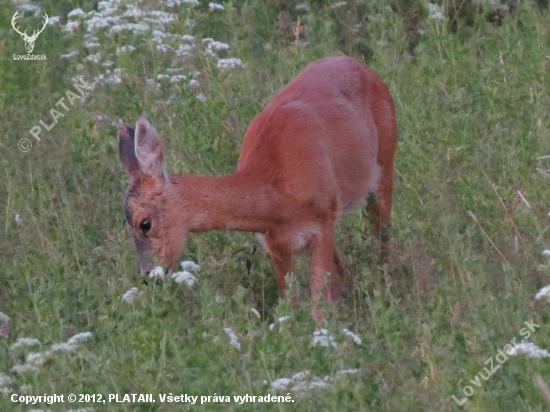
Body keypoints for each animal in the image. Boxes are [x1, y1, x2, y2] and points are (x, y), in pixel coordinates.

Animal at [118, 55, 398, 322]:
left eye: (145, 223)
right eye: (126, 227)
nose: (149, 276)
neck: (277, 194)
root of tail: (364, 67)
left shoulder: (322, 223)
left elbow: (318, 305)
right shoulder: (275, 243)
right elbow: (291, 307)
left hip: (385, 163)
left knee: (382, 242)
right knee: (342, 270)